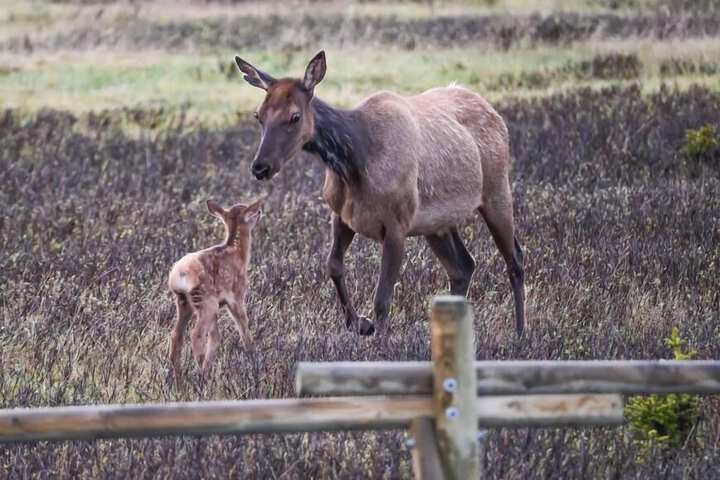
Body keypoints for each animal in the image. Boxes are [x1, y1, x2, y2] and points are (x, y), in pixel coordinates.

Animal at [168, 199, 262, 382]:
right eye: (249, 211)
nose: (260, 211)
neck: (239, 254)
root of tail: (179, 275)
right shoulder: (237, 296)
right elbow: (243, 326)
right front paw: (253, 356)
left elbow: (216, 337)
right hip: (206, 301)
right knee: (196, 334)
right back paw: (200, 370)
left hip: (184, 303)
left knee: (177, 336)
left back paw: (180, 377)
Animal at [235, 51, 524, 338]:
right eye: (258, 115)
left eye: (294, 116)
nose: (260, 167)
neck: (355, 163)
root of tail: (495, 114)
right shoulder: (341, 215)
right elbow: (333, 265)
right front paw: (359, 323)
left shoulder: (397, 223)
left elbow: (382, 299)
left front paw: (380, 340)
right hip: (438, 224)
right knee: (463, 266)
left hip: (497, 191)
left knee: (515, 259)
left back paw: (520, 332)